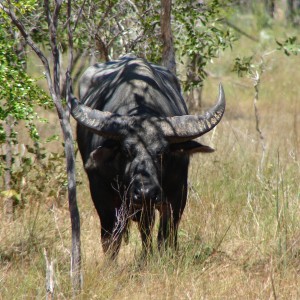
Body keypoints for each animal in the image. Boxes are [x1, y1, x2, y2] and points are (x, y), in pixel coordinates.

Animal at [66, 54, 225, 258]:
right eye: (126, 151)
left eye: (162, 152)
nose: (145, 193)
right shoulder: (101, 195)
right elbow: (111, 240)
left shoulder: (177, 194)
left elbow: (166, 236)